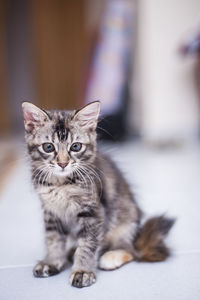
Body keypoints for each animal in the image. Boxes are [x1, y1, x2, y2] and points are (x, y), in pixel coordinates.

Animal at [22, 101, 175, 288]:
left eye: (76, 146)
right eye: (48, 147)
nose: (63, 163)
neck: (61, 183)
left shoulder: (93, 212)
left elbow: (87, 244)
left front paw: (82, 271)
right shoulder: (51, 212)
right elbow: (53, 239)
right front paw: (52, 261)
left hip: (124, 221)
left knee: (130, 251)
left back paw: (110, 257)